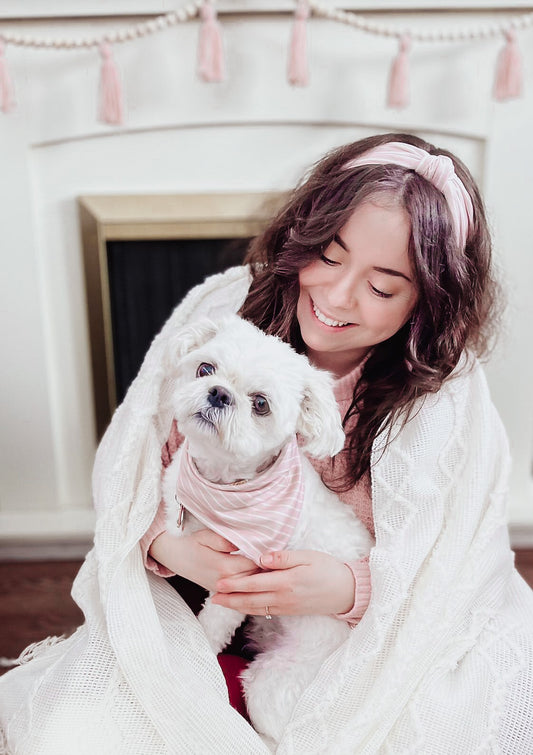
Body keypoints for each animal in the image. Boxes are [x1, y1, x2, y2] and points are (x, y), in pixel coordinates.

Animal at [163, 316, 374, 748]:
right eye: (205, 369)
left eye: (260, 404)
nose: (218, 394)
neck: (223, 484)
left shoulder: (237, 583)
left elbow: (211, 627)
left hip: (272, 681)